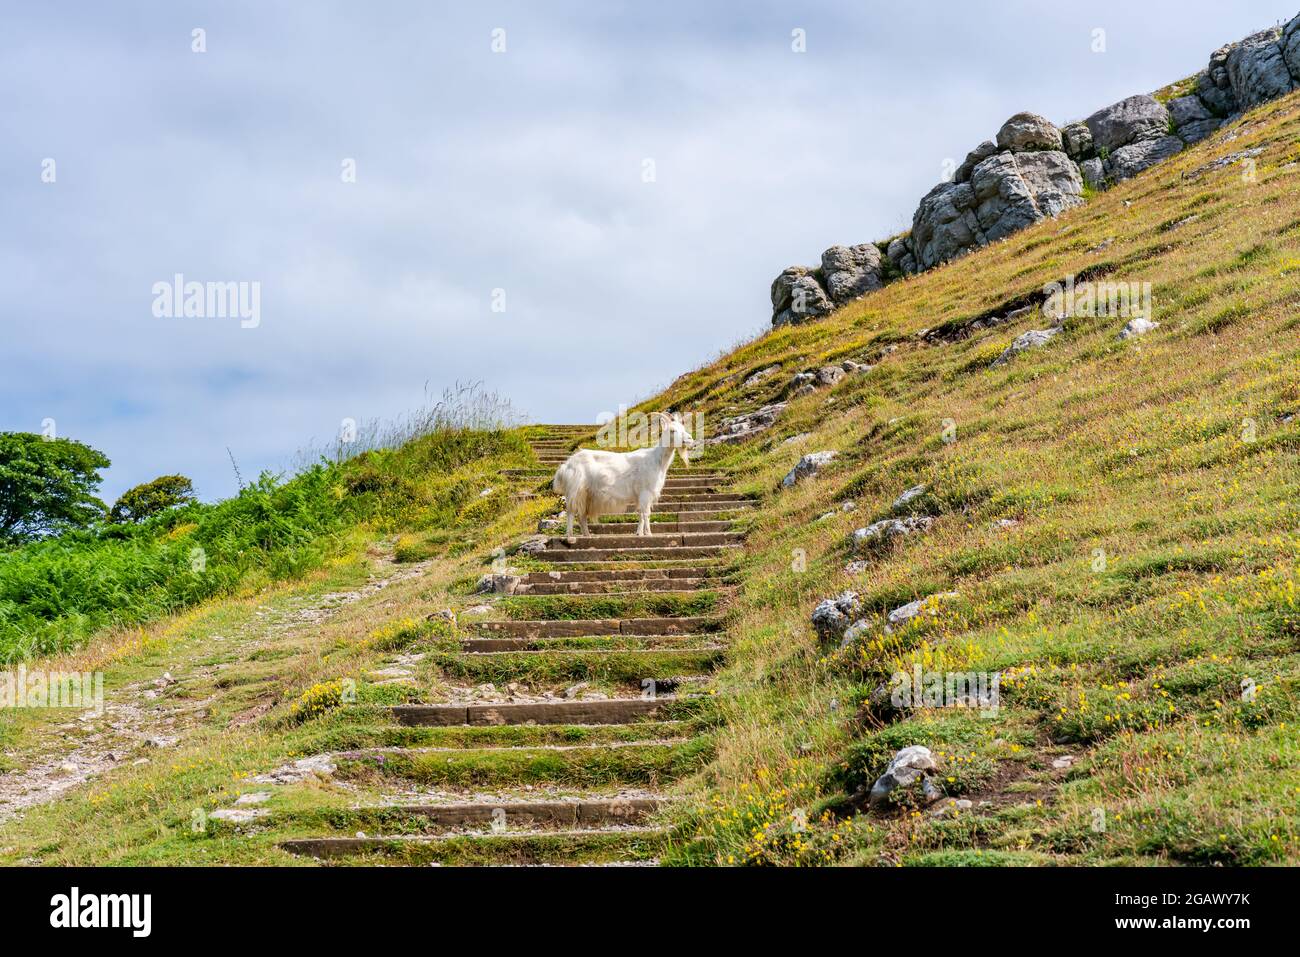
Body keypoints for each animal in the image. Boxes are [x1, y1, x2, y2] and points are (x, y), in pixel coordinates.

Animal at [551, 413, 696, 538]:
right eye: (672, 430)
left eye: (683, 428)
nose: (691, 441)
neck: (656, 459)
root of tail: (566, 466)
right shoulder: (645, 492)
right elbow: (646, 513)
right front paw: (648, 533)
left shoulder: (639, 495)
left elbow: (640, 514)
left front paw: (639, 533)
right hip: (574, 490)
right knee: (571, 512)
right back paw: (570, 535)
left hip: (587, 494)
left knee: (582, 515)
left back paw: (587, 535)